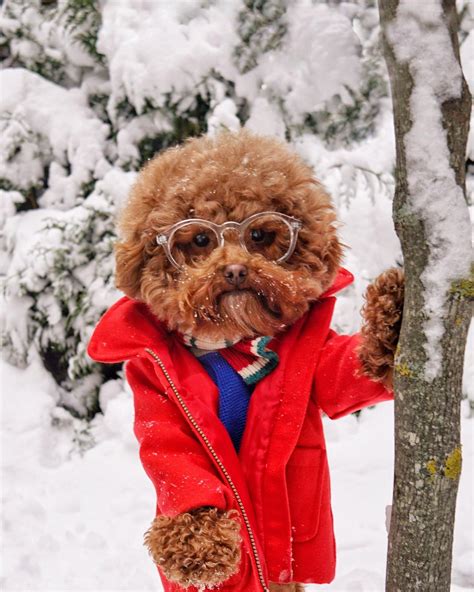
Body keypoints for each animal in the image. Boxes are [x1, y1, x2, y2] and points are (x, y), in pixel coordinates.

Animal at [88, 131, 404, 592]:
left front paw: (393, 319)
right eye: (201, 240)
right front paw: (196, 544)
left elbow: (344, 374)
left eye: (259, 234)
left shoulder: (319, 366)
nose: (236, 270)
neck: (229, 345)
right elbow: (174, 457)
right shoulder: (154, 390)